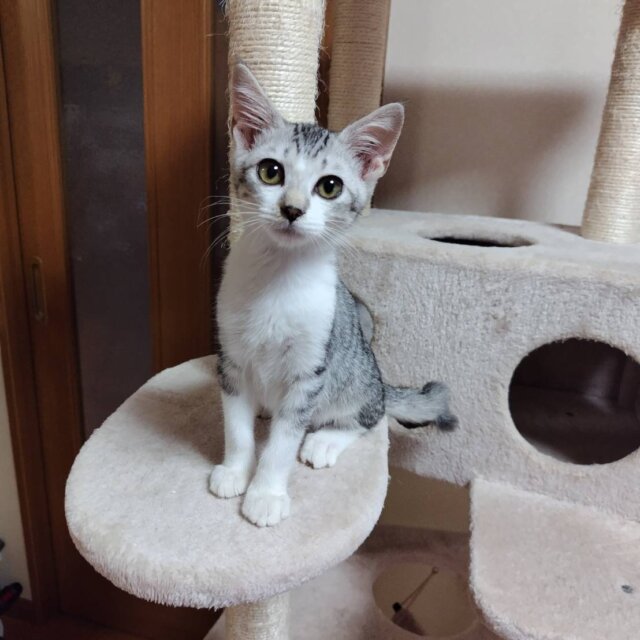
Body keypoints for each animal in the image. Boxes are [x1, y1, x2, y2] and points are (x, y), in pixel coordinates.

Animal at [210, 63, 457, 527]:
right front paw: (235, 469)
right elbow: (236, 427)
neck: (277, 280)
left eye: (329, 186)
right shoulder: (230, 358)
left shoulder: (310, 372)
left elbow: (283, 442)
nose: (292, 209)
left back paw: (324, 441)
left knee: (371, 416)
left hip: (354, 377)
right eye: (271, 172)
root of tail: (381, 382)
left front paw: (266, 493)